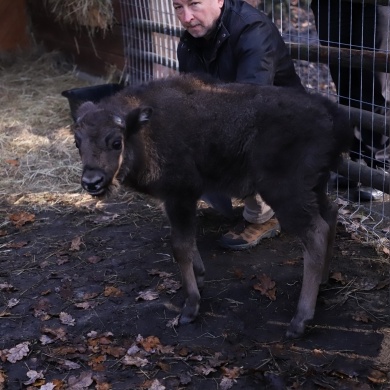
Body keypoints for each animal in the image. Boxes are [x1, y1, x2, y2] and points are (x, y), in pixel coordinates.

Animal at [73, 74, 354, 338]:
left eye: (116, 142)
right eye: (78, 142)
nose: (92, 182)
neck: (144, 131)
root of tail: (332, 116)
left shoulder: (180, 196)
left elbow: (180, 246)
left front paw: (190, 307)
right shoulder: (174, 201)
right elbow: (187, 242)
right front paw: (199, 276)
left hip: (287, 194)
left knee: (315, 233)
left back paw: (299, 321)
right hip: (315, 187)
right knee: (330, 215)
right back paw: (324, 281)